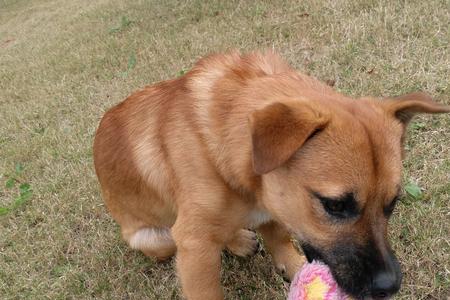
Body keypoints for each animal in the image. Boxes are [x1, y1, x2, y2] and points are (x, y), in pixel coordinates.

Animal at [93, 50, 448, 298]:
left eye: (392, 203)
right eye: (334, 205)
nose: (390, 286)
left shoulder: (274, 202)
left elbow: (280, 239)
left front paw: (293, 266)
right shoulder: (193, 244)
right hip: (155, 238)